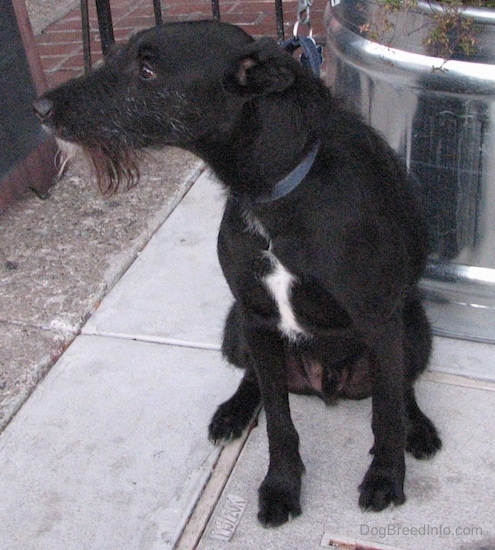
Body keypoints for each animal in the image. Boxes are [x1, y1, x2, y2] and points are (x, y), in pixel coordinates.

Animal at [34, 20, 442, 532]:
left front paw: (386, 477)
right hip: (235, 328)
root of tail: (326, 382)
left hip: (414, 324)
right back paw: (232, 412)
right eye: (114, 55)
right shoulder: (257, 317)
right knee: (253, 378)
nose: (40, 108)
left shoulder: (379, 321)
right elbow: (278, 420)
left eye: (147, 70)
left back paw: (418, 426)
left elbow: (385, 413)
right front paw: (281, 486)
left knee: (403, 384)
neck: (272, 194)